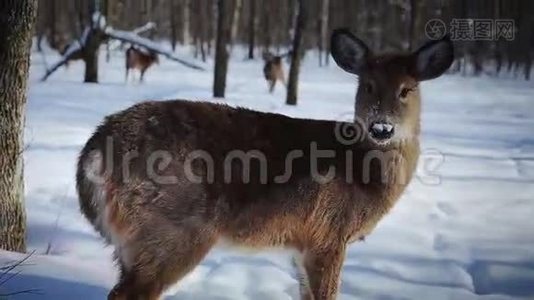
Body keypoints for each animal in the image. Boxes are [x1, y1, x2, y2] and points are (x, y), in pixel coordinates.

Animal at [74, 28, 452, 300]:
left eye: (407, 90)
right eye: (368, 85)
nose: (381, 127)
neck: (363, 174)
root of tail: (94, 153)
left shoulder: (303, 243)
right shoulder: (330, 233)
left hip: (133, 243)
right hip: (173, 229)